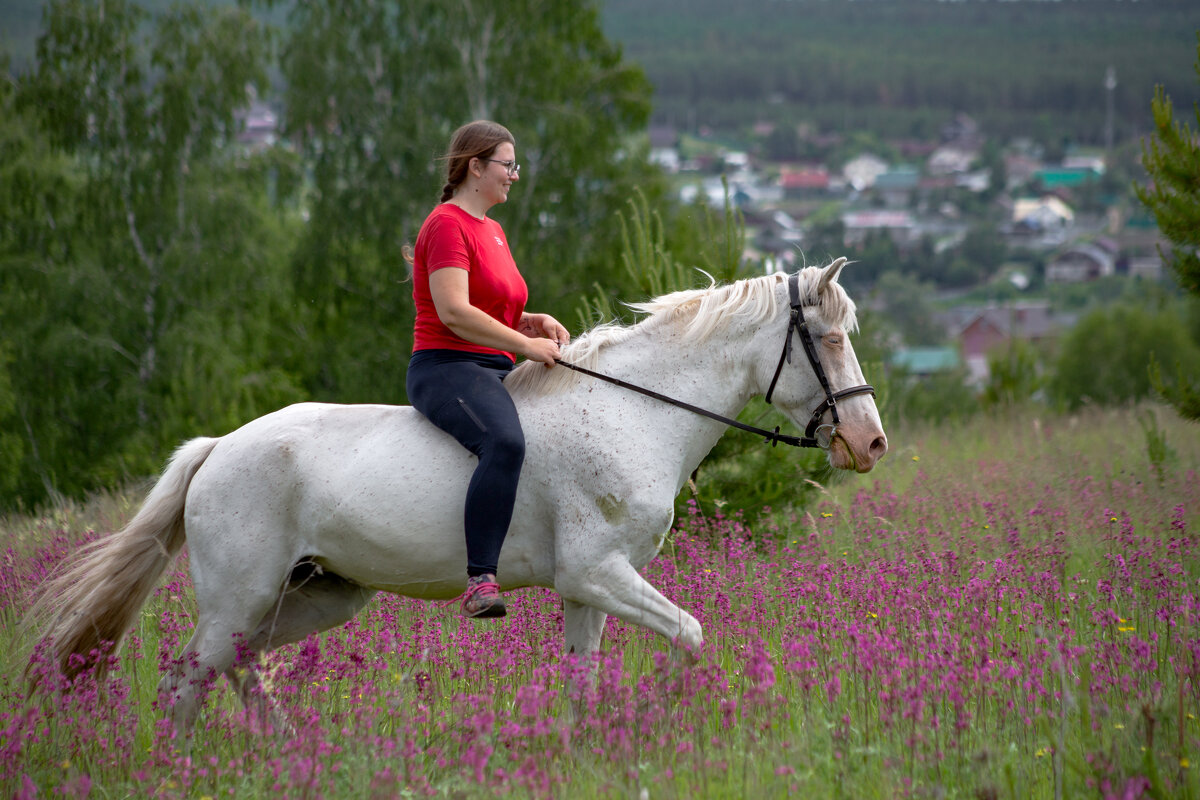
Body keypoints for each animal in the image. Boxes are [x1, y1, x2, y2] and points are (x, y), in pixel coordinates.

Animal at [32, 260, 888, 734]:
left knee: (236, 670)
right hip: (238, 598)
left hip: (316, 595)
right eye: (830, 339)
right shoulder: (597, 572)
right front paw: (666, 713)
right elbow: (691, 635)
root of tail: (215, 449)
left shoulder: (587, 587)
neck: (635, 411)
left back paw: (278, 746)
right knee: (187, 680)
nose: (870, 444)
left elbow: (585, 680)